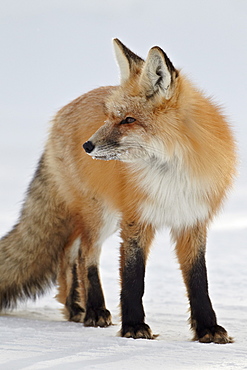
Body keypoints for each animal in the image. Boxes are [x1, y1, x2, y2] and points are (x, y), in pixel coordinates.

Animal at [0, 39, 235, 342]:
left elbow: (198, 281)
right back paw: (94, 310)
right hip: (101, 214)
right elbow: (133, 279)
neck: (171, 175)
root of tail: (62, 112)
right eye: (110, 116)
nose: (87, 146)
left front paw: (208, 328)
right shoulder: (135, 220)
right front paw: (134, 326)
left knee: (68, 254)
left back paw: (75, 307)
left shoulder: (192, 220)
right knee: (84, 253)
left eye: (129, 120)